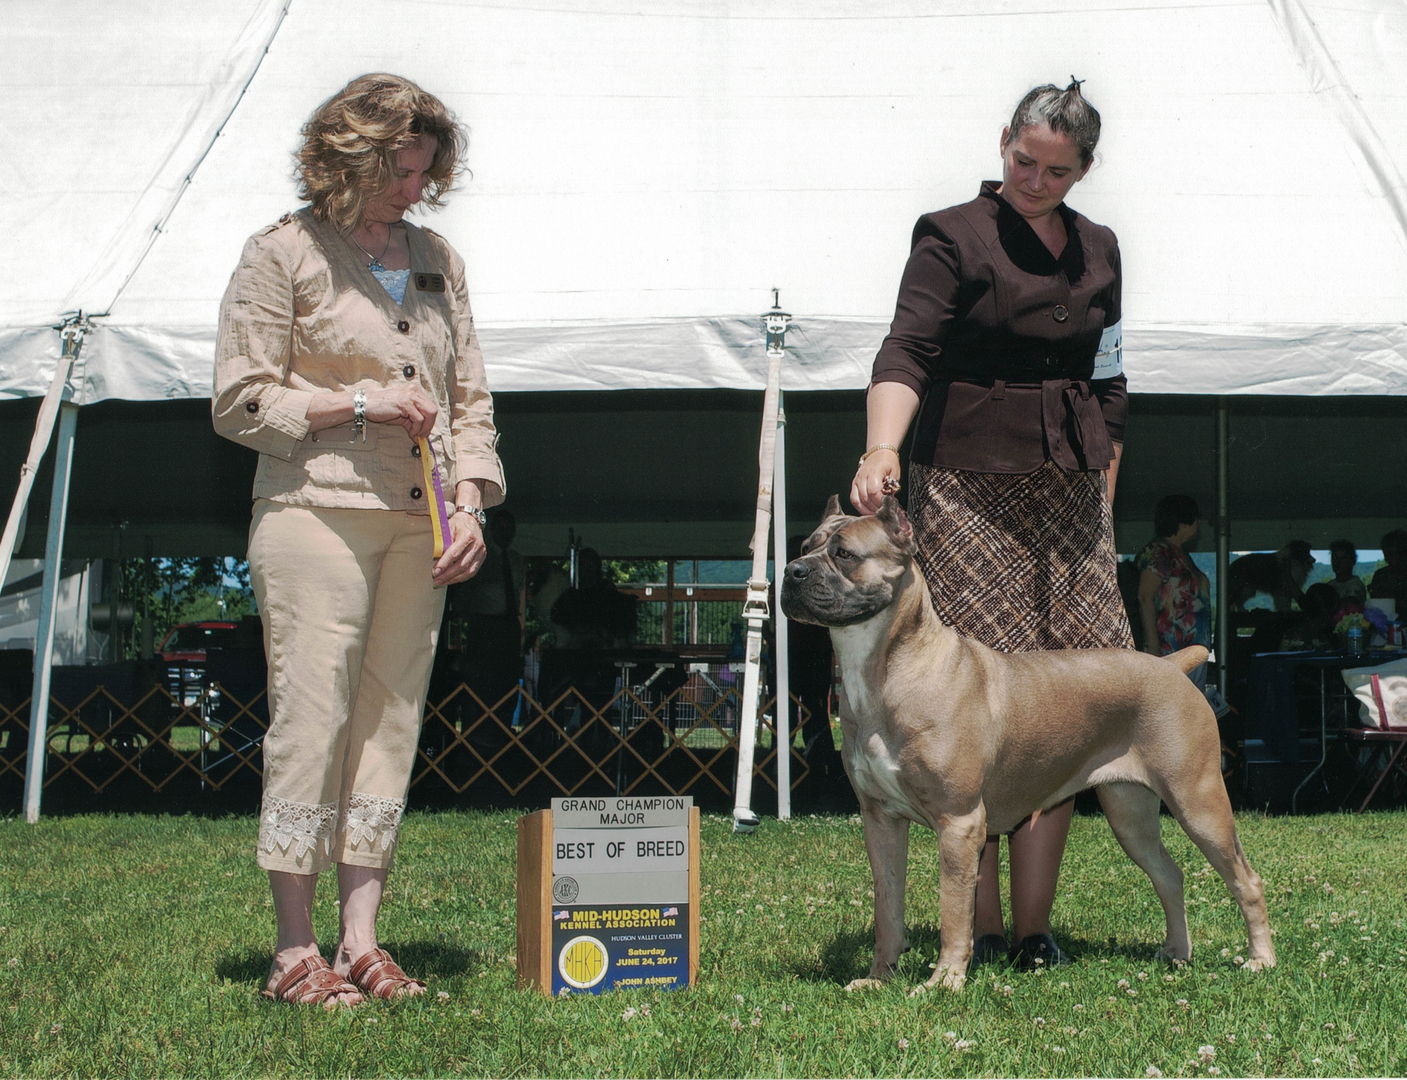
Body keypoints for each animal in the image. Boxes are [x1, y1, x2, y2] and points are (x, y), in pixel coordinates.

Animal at [782, 495, 1277, 990]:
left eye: (844, 554)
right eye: (806, 546)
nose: (792, 571)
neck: (885, 671)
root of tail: (1171, 666)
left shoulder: (959, 822)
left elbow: (953, 912)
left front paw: (944, 981)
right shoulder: (881, 821)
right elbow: (888, 907)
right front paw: (880, 978)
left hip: (1198, 801)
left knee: (1247, 881)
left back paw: (1261, 959)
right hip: (1129, 814)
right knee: (1169, 875)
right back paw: (1177, 952)